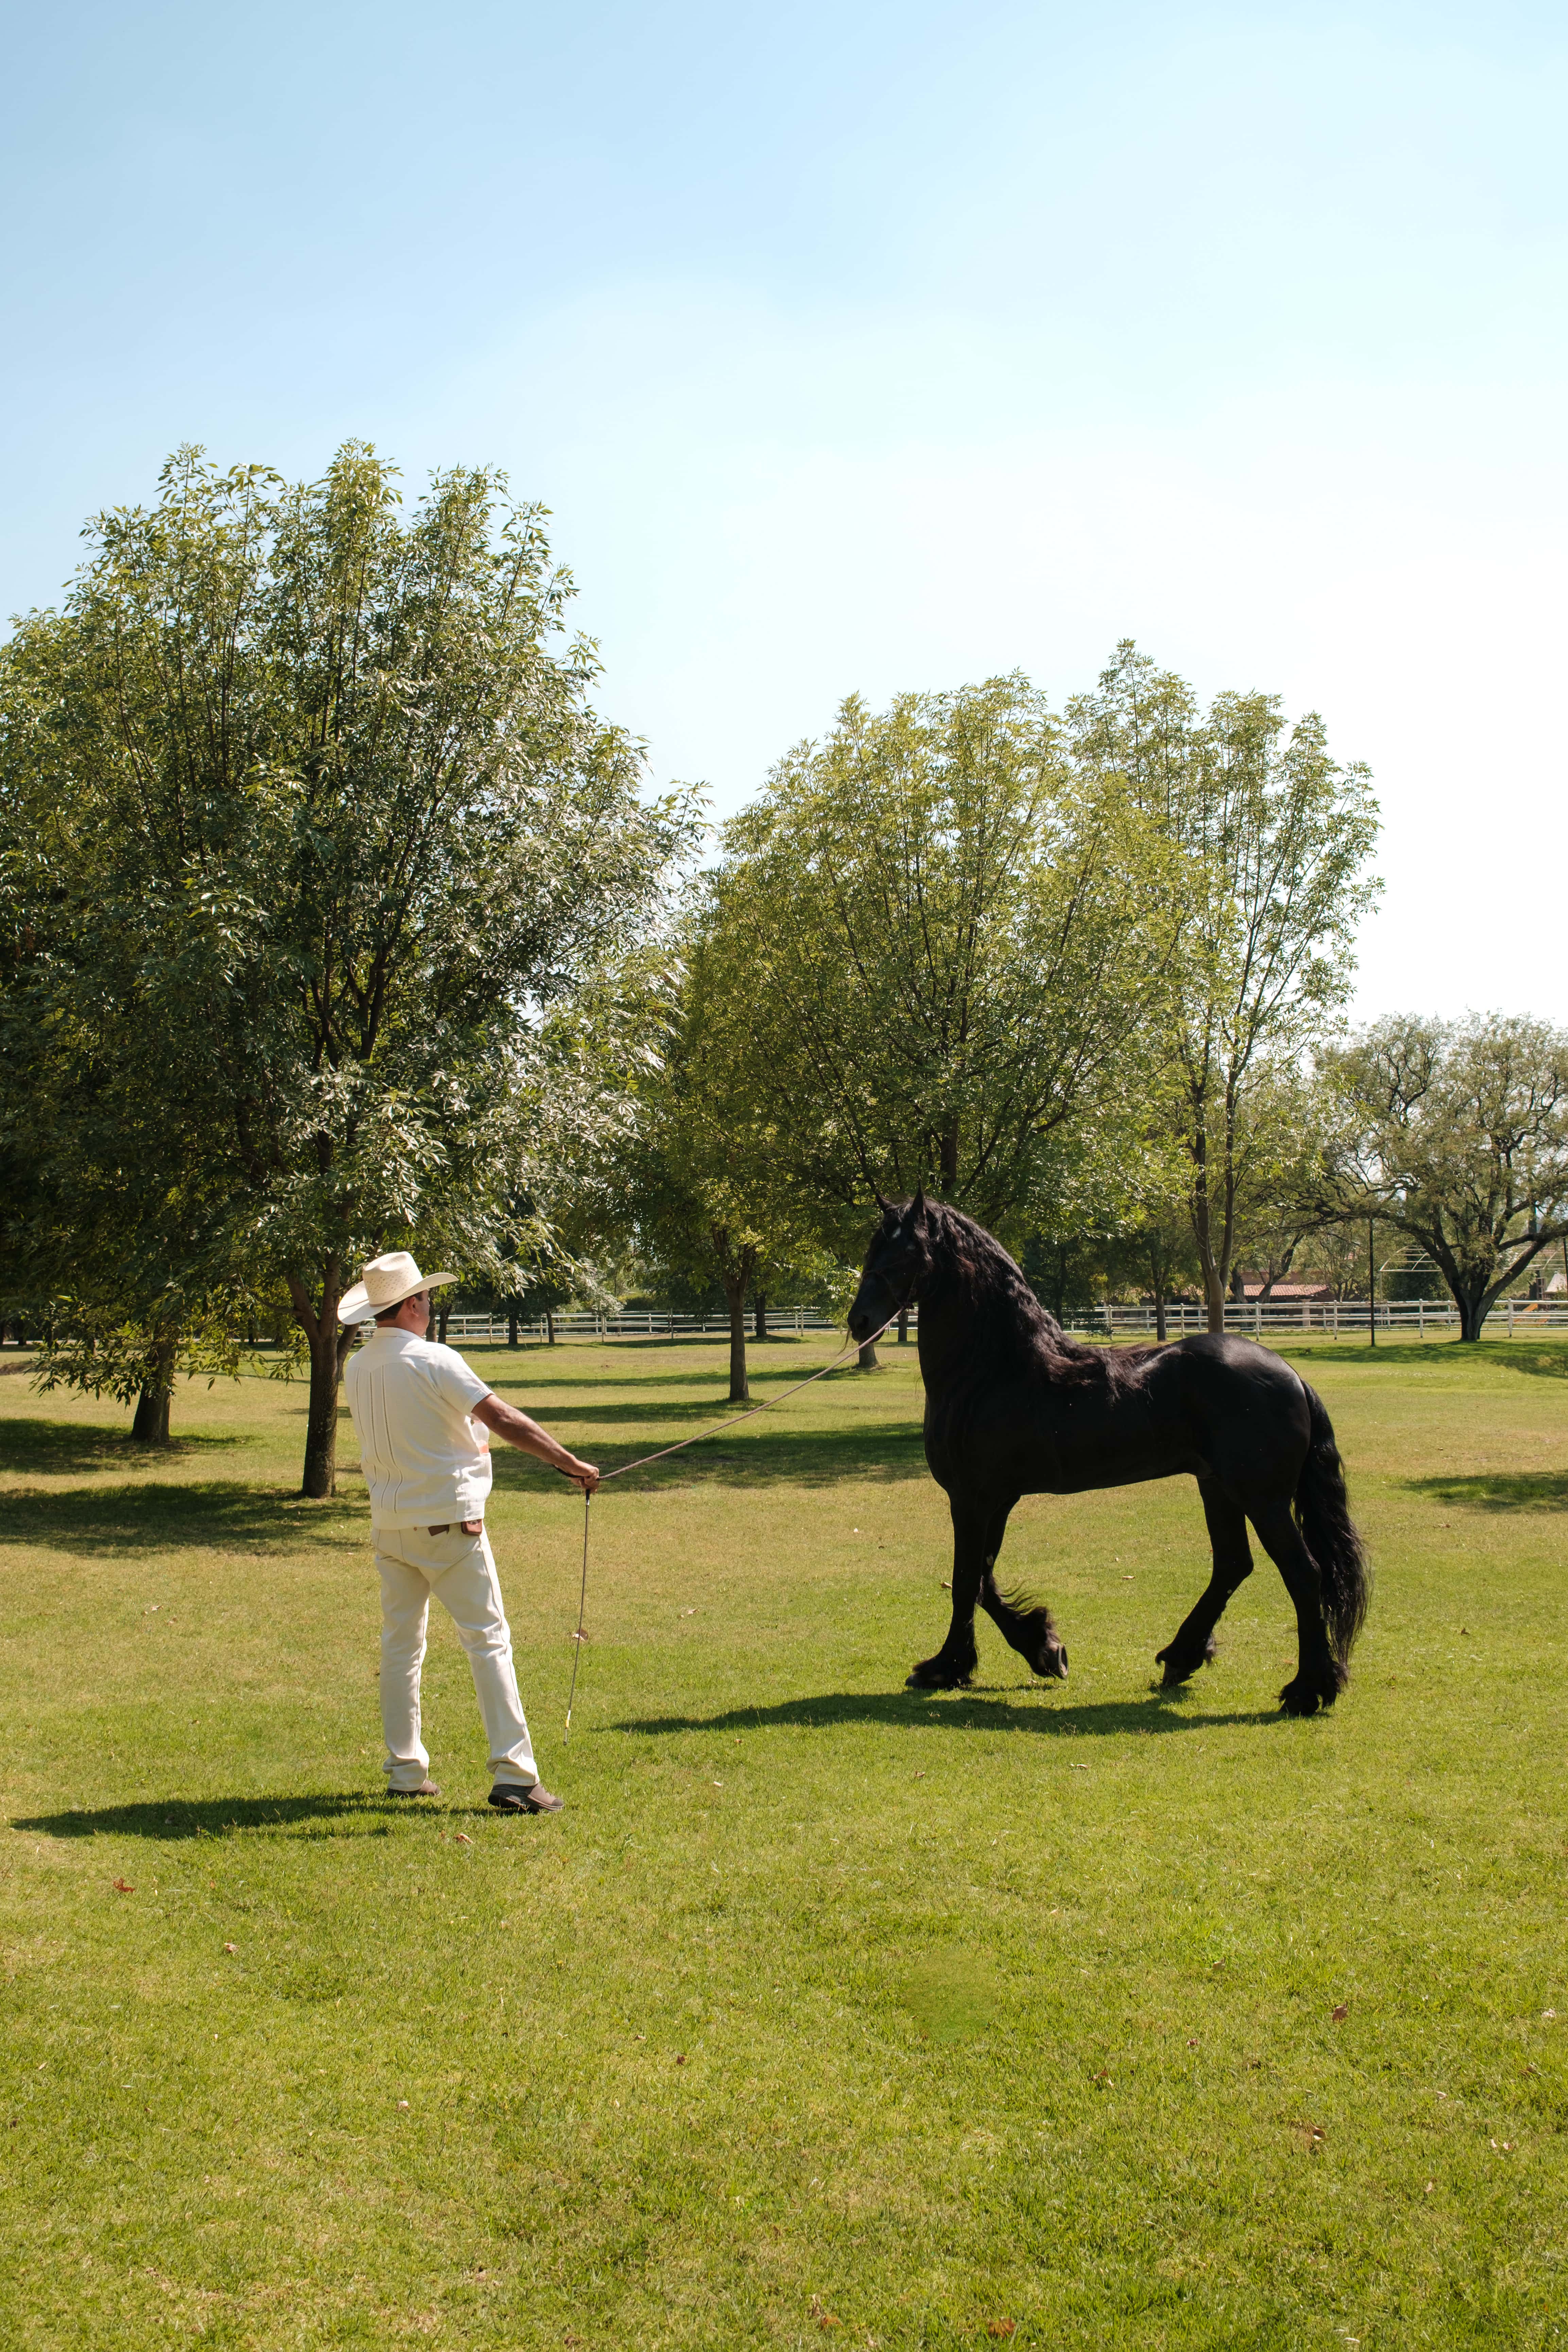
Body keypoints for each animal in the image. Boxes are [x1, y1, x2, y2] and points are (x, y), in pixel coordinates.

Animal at [846, 1193, 1369, 1715]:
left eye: (902, 1252)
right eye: (874, 1246)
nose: (859, 1321)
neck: (995, 1368)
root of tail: (1291, 1374)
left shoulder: (972, 1498)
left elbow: (965, 1582)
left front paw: (945, 1666)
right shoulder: (995, 1499)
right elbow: (982, 1581)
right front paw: (1043, 1649)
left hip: (1262, 1499)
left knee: (1303, 1574)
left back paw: (1308, 1688)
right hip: (1218, 1488)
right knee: (1233, 1564)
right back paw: (1182, 1657)